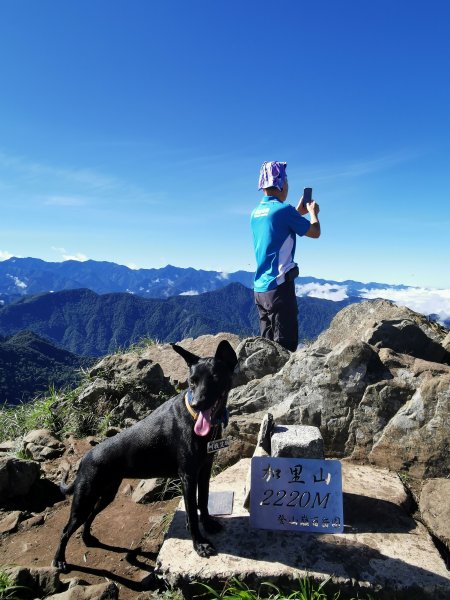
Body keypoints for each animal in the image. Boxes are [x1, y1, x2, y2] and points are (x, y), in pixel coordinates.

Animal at [52, 340, 237, 568]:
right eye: (192, 381)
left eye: (215, 378)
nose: (197, 404)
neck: (194, 417)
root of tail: (84, 459)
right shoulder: (188, 476)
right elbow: (193, 513)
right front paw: (199, 545)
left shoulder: (204, 471)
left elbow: (202, 501)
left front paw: (208, 524)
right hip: (84, 498)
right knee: (65, 530)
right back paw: (59, 559)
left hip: (106, 494)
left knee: (89, 517)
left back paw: (87, 539)